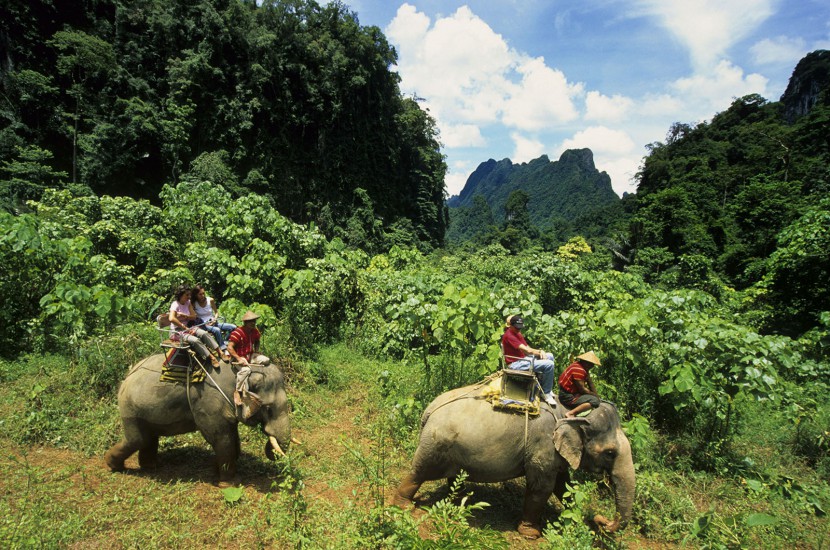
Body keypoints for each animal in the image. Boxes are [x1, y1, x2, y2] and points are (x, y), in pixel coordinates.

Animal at [106, 354, 292, 488]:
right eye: (268, 408)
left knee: (149, 438)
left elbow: (231, 435)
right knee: (138, 439)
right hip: (130, 410)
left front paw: (216, 468)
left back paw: (152, 466)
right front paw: (229, 483)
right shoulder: (208, 404)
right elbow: (220, 438)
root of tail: (127, 376)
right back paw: (113, 466)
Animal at [396, 386, 636, 540]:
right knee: (419, 472)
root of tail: (430, 409)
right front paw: (531, 534)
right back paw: (403, 505)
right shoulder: (543, 447)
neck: (568, 412)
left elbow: (563, 486)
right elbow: (542, 487)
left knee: (454, 476)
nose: (601, 520)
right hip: (436, 444)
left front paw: (576, 516)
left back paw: (458, 503)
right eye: (610, 453)